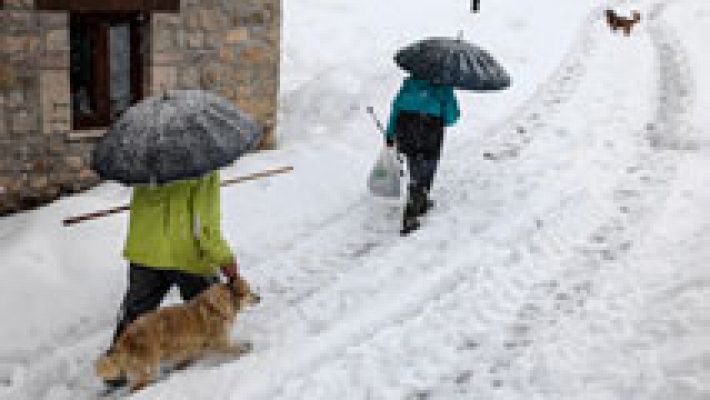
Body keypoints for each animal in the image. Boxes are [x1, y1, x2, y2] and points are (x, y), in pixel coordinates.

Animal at [94, 276, 260, 392]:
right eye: (249, 291)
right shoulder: (219, 341)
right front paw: (246, 349)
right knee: (137, 387)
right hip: (148, 367)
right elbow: (236, 348)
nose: (259, 297)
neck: (223, 302)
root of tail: (122, 341)